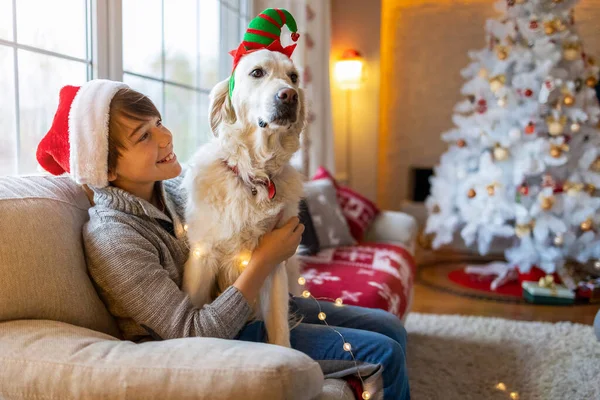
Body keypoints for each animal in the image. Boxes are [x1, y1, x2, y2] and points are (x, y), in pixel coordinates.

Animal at [182, 49, 304, 346]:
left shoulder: (274, 267)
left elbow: (279, 330)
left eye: (293, 77)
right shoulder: (202, 255)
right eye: (257, 72)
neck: (255, 177)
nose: (289, 95)